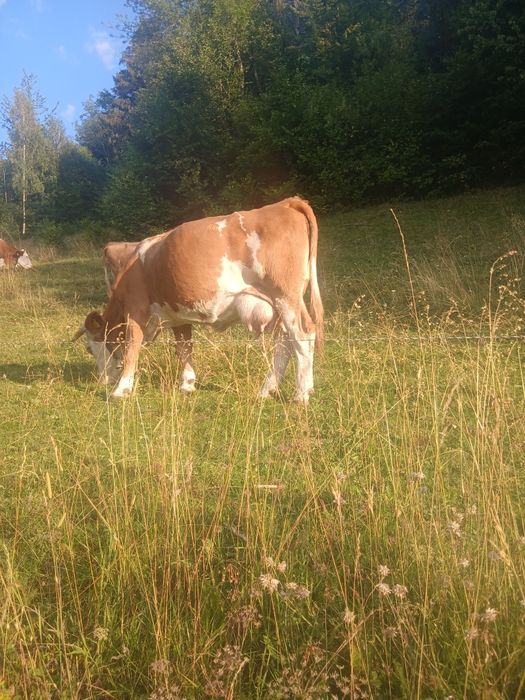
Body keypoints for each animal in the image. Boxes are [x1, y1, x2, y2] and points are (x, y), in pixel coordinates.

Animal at [73, 198, 324, 402]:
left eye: (89, 348)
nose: (102, 380)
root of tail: (285, 203)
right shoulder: (177, 314)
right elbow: (184, 348)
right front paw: (187, 384)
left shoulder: (136, 308)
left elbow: (132, 346)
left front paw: (120, 390)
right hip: (279, 305)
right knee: (284, 343)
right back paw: (267, 390)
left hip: (286, 296)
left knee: (302, 336)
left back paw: (301, 394)